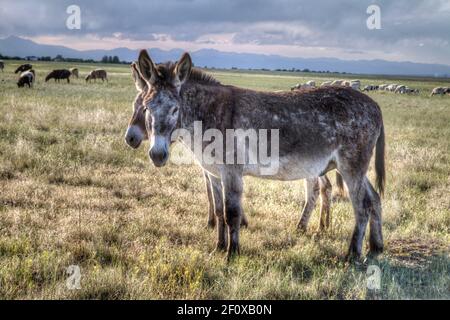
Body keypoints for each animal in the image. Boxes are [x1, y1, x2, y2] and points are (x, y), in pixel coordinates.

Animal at [134, 50, 386, 260]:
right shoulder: (214, 174)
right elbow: (218, 211)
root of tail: (374, 105)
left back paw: (352, 255)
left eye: (175, 109)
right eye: (147, 108)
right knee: (374, 198)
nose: (157, 155)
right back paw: (376, 246)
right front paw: (218, 247)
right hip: (353, 168)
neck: (208, 114)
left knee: (362, 206)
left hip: (351, 166)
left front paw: (232, 254)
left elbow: (231, 213)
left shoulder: (231, 172)